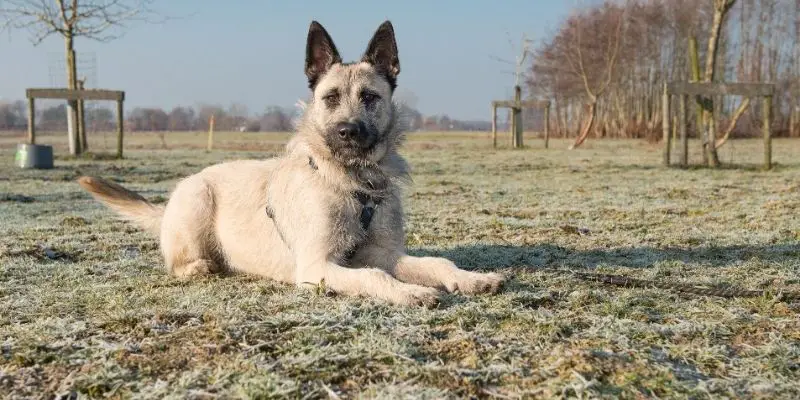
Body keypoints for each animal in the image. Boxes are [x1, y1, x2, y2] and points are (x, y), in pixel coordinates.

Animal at [78, 20, 504, 306]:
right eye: (330, 98)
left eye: (370, 97)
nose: (348, 132)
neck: (353, 182)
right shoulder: (318, 266)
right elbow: (373, 276)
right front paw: (410, 291)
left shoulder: (385, 253)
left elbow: (437, 261)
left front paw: (470, 278)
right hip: (196, 200)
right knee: (180, 260)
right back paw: (200, 266)